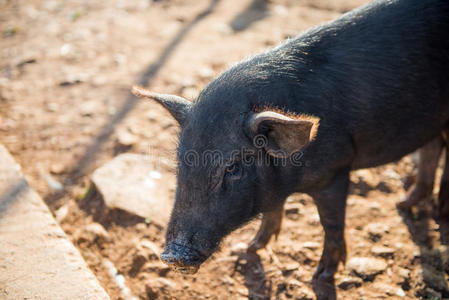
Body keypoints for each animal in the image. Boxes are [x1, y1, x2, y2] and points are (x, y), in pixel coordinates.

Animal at [131, 0, 446, 298]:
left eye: (232, 167)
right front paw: (250, 249)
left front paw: (322, 276)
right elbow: (273, 211)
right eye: (181, 160)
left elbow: (331, 224)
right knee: (434, 146)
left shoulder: (336, 170)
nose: (172, 255)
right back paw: (404, 204)